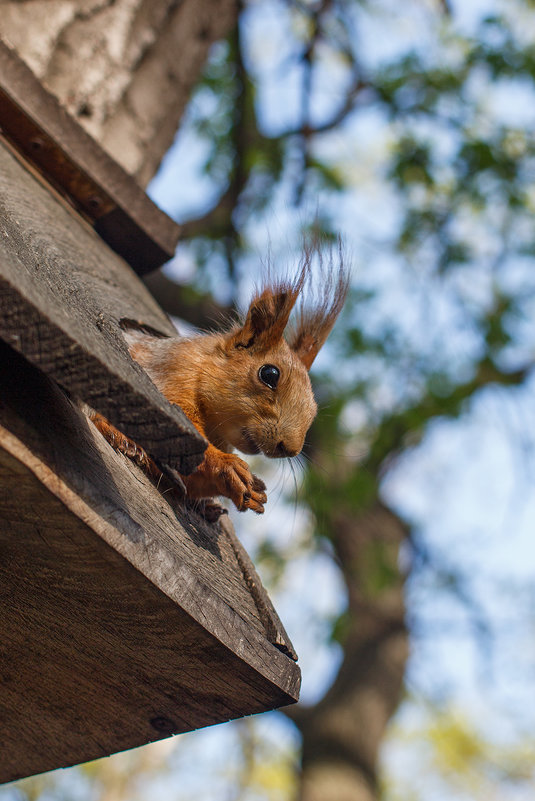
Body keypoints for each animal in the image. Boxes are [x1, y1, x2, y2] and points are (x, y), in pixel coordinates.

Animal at [90, 250, 350, 520]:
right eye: (269, 374)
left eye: (314, 409)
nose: (289, 448)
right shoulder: (169, 378)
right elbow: (182, 437)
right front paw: (227, 466)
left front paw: (250, 492)